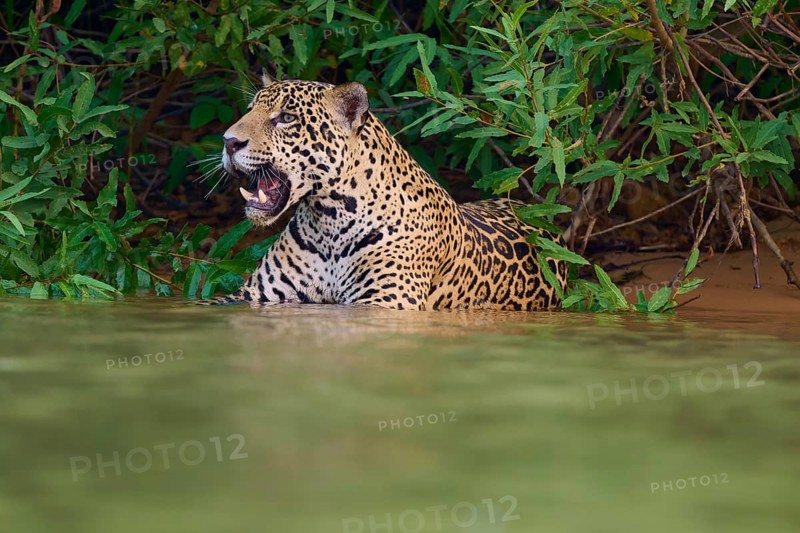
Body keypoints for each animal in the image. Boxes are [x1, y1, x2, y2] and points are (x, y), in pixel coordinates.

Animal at [212, 75, 568, 310]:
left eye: (286, 118)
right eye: (249, 109)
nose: (229, 141)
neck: (328, 219)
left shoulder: (387, 301)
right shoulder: (250, 296)